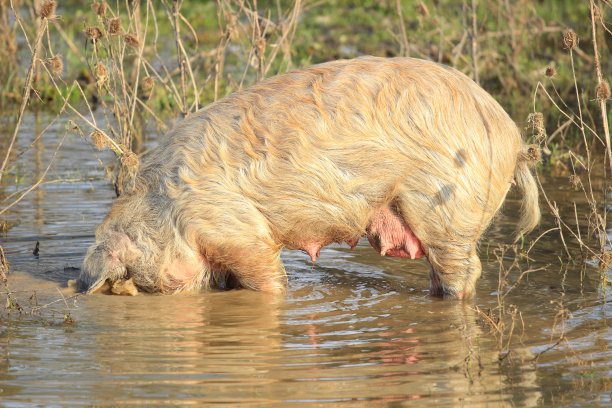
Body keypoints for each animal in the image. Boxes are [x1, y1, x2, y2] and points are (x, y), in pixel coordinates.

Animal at [77, 57, 540, 298]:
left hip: (449, 208)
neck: (168, 208)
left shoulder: (237, 229)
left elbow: (267, 278)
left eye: (140, 279)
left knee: (464, 270)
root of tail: (512, 139)